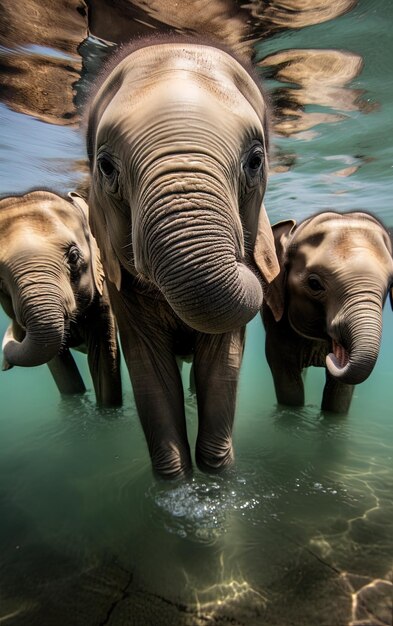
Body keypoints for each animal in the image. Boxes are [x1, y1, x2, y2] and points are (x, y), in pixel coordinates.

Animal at [87, 36, 280, 476]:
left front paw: (216, 477)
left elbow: (222, 364)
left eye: (255, 160)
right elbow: (149, 372)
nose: (257, 264)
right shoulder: (120, 288)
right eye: (105, 167)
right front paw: (177, 483)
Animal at [260, 212, 392, 412]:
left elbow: (340, 393)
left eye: (391, 284)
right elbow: (286, 378)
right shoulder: (277, 325)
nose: (332, 357)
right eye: (314, 284)